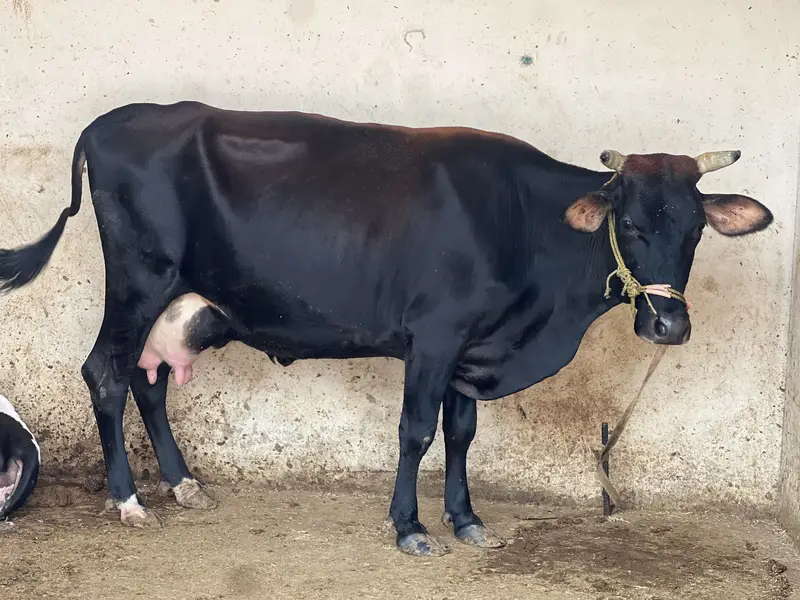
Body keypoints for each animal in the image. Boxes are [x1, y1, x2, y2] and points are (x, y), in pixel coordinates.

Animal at [0, 101, 773, 556]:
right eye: (632, 223)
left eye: (695, 229)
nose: (668, 323)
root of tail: (116, 119)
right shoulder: (436, 334)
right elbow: (417, 432)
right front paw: (410, 527)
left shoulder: (473, 345)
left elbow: (461, 434)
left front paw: (467, 520)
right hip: (138, 281)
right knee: (105, 374)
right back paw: (129, 501)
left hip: (176, 302)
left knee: (149, 379)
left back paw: (184, 484)